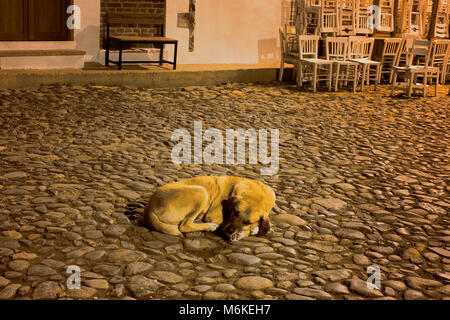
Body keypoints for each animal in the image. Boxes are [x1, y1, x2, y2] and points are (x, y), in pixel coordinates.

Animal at [144, 176, 276, 241]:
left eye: (248, 222)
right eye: (235, 212)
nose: (229, 231)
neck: (257, 194)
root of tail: (149, 207)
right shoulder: (216, 217)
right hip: (201, 192)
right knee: (184, 226)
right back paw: (209, 226)